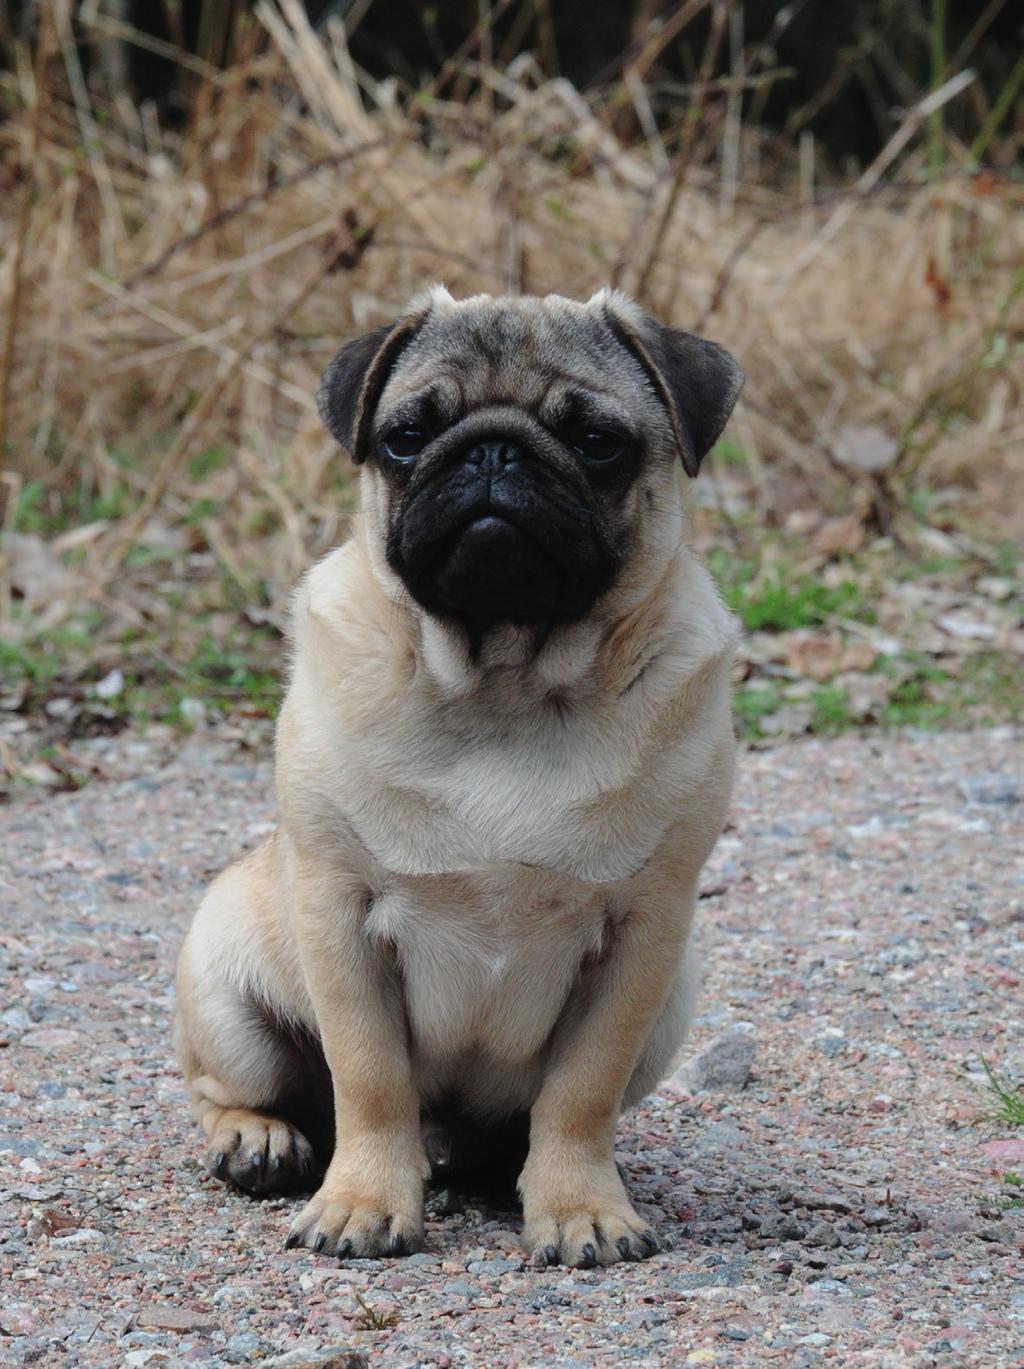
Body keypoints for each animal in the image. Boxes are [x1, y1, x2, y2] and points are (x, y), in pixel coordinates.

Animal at [176, 288, 744, 1270]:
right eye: (407, 435)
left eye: (598, 440)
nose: (493, 450)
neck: (504, 684)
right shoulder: (339, 913)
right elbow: (370, 1078)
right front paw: (363, 1202)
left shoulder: (643, 935)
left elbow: (580, 1092)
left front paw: (579, 1206)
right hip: (225, 988)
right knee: (239, 1089)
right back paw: (259, 1139)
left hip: (671, 1001)